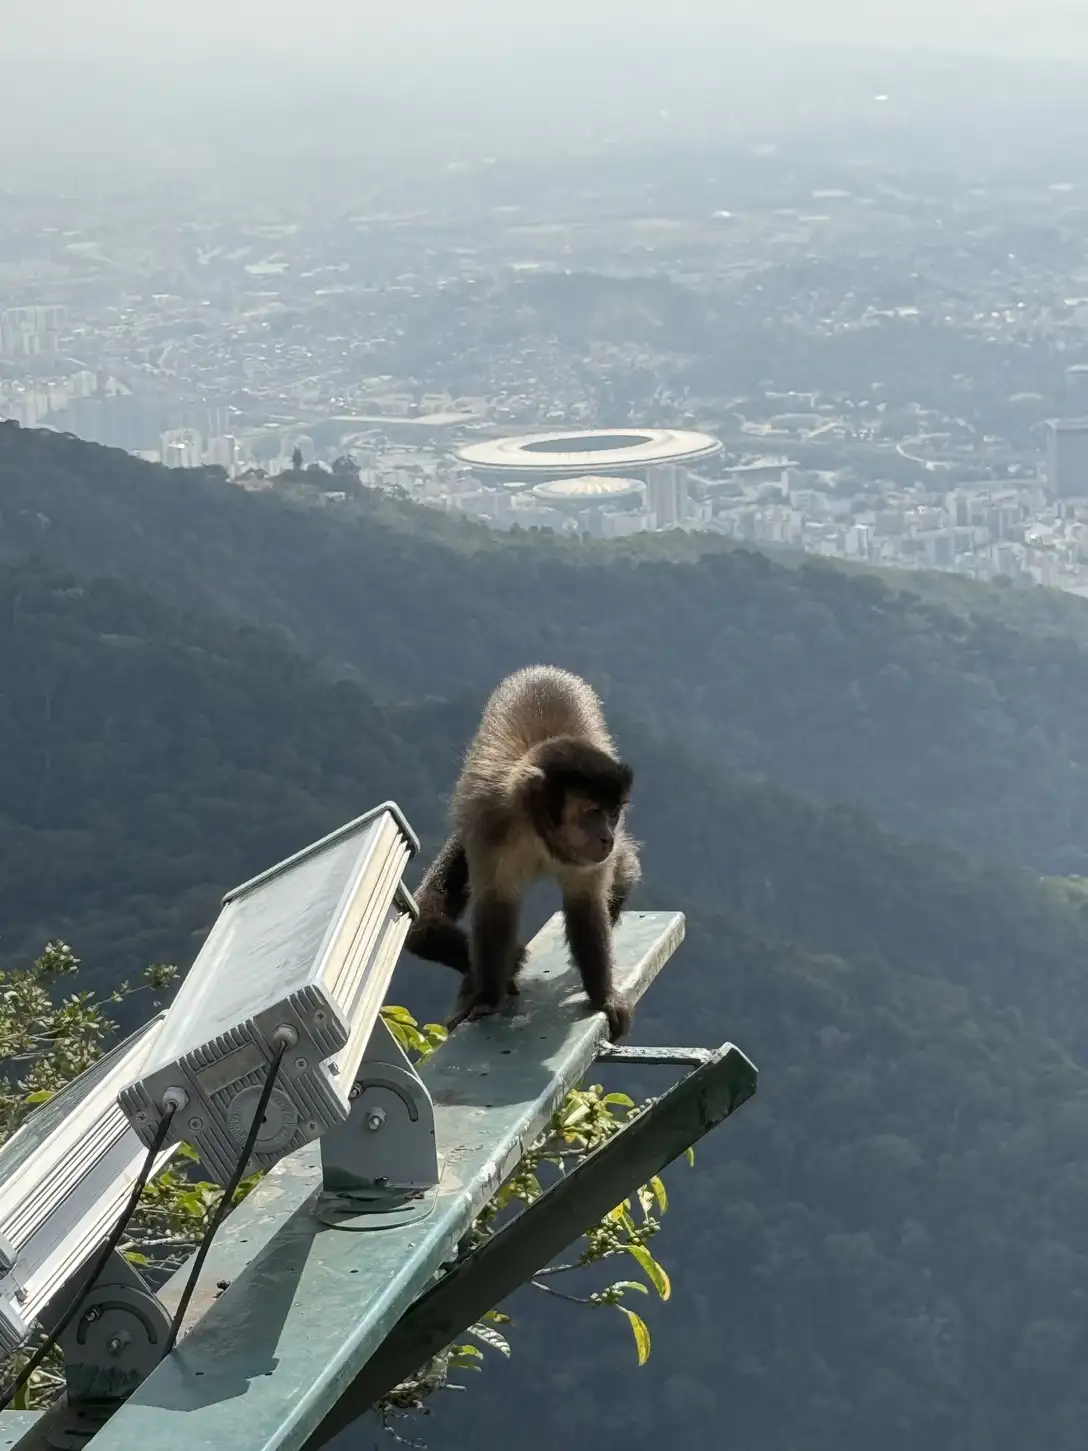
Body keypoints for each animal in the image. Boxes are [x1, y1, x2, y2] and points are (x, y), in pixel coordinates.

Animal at [405, 665, 642, 1042]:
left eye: (613, 812)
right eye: (592, 813)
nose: (606, 836)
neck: (539, 833)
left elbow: (586, 904)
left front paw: (603, 996)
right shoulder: (490, 821)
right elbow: (495, 903)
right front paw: (488, 997)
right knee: (423, 929)